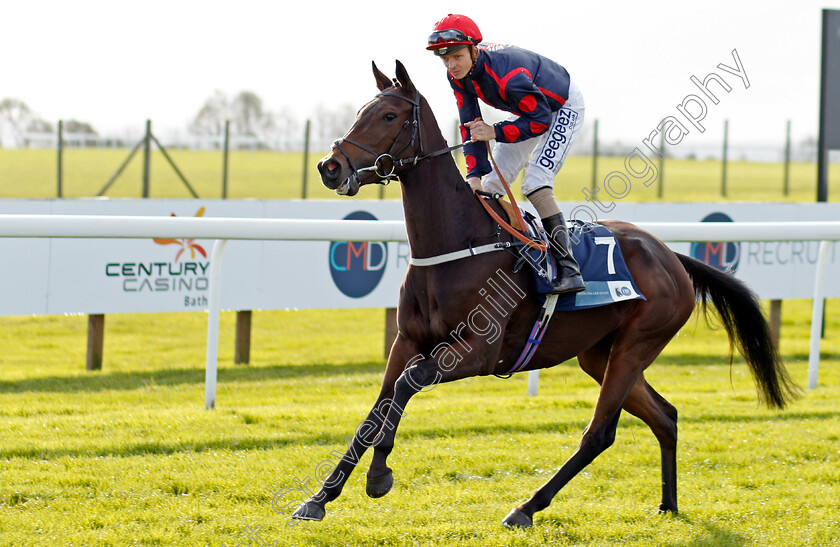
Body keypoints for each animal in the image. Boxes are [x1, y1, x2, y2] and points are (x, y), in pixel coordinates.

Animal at [296, 62, 800, 528]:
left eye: (389, 115)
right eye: (360, 113)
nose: (329, 167)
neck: (457, 244)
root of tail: (671, 256)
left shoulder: (477, 351)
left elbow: (405, 386)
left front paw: (378, 475)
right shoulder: (407, 341)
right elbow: (378, 407)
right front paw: (321, 497)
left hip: (637, 345)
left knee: (600, 433)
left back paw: (526, 506)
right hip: (599, 354)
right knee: (666, 415)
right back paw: (668, 504)